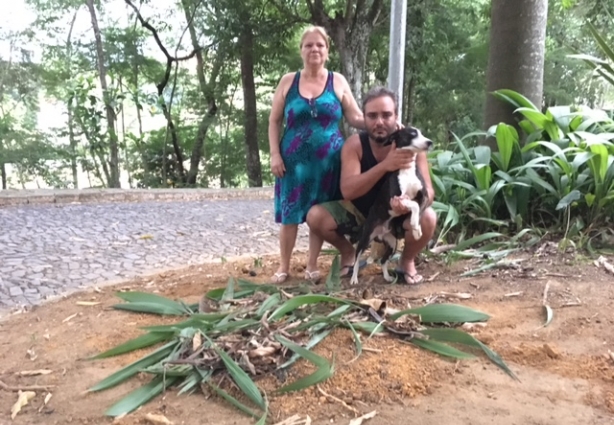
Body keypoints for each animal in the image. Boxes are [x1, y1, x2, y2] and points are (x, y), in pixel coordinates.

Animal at [352, 126, 434, 284]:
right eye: (412, 134)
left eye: (422, 134)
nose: (430, 142)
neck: (407, 169)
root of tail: (381, 232)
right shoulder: (397, 198)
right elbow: (413, 205)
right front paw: (415, 227)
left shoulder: (424, 196)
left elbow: (418, 209)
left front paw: (416, 229)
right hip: (365, 238)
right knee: (357, 258)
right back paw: (353, 278)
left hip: (392, 244)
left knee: (383, 261)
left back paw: (387, 277)